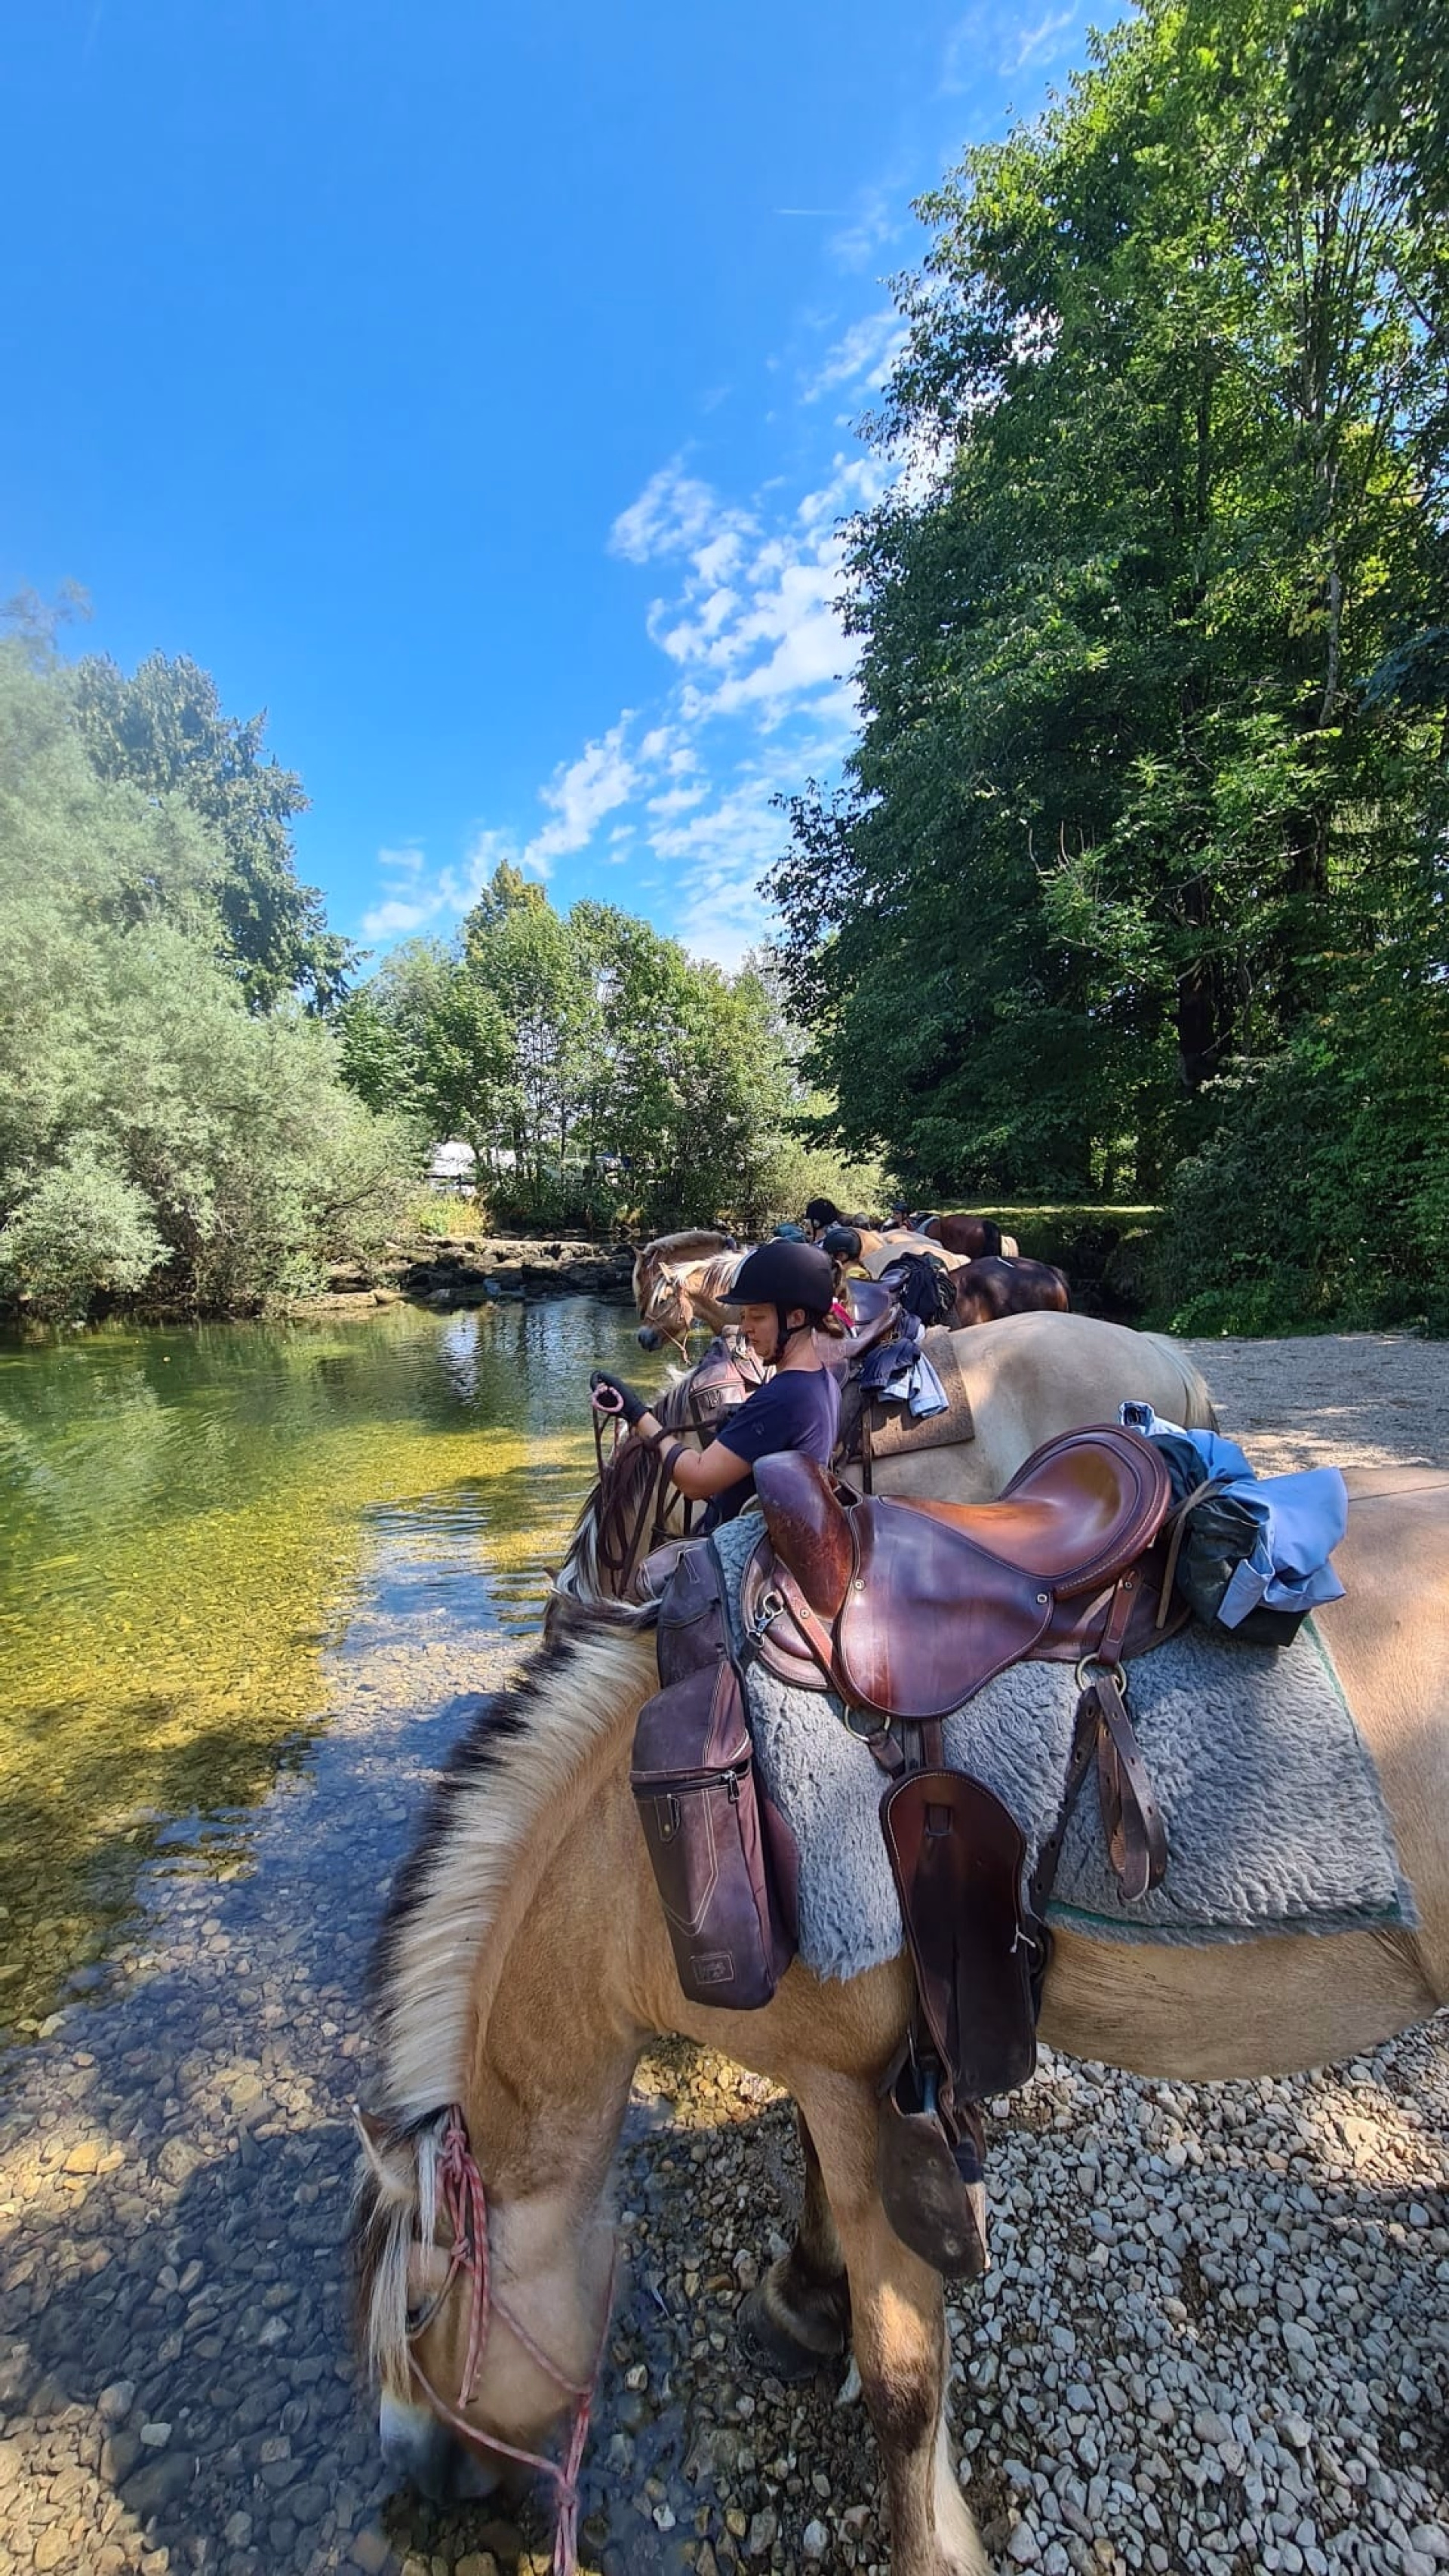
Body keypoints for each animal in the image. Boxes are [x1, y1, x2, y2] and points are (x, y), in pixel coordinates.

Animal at [353, 1466, 1449, 2576]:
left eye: (418, 2307)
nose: (417, 2472)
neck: (629, 1857)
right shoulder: (845, 2065)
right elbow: (813, 2186)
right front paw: (803, 2298)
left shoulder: (854, 2090)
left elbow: (903, 2379)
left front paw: (931, 2534)